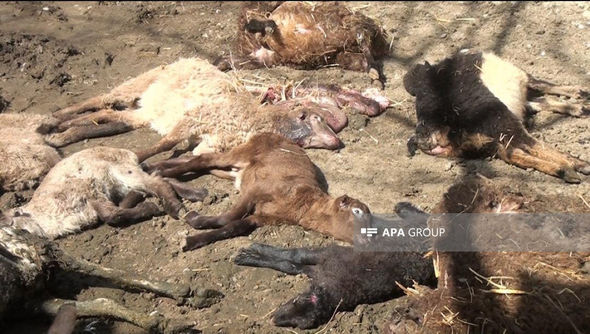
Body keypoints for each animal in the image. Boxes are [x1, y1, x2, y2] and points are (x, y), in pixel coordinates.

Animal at [145, 132, 372, 250]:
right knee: (202, 159)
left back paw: (157, 167)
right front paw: (194, 220)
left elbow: (234, 227)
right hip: (241, 153)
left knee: (200, 162)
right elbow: (229, 217)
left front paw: (194, 240)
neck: (305, 204)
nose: (370, 240)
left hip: (233, 170)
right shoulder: (257, 190)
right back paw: (157, 170)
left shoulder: (264, 218)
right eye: (357, 211)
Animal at [408, 50, 590, 183]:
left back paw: (566, 172)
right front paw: (582, 97)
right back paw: (578, 166)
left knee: (512, 154)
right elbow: (543, 86)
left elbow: (542, 99)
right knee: (532, 143)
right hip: (500, 121)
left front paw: (580, 105)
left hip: (483, 144)